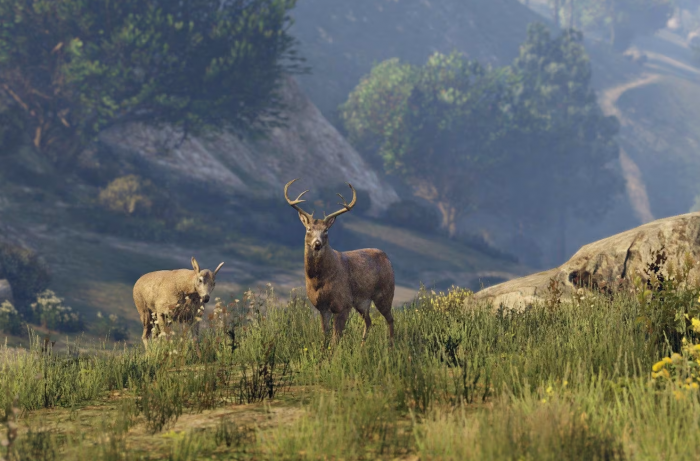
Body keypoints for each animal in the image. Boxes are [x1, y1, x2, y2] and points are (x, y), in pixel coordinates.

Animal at [284, 178, 395, 344]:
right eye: (309, 229)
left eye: (326, 231)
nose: (317, 244)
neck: (319, 280)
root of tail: (387, 258)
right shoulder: (322, 307)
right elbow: (324, 334)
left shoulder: (343, 303)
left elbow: (336, 337)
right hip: (362, 301)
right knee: (369, 321)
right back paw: (362, 346)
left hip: (385, 292)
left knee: (390, 319)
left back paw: (391, 345)